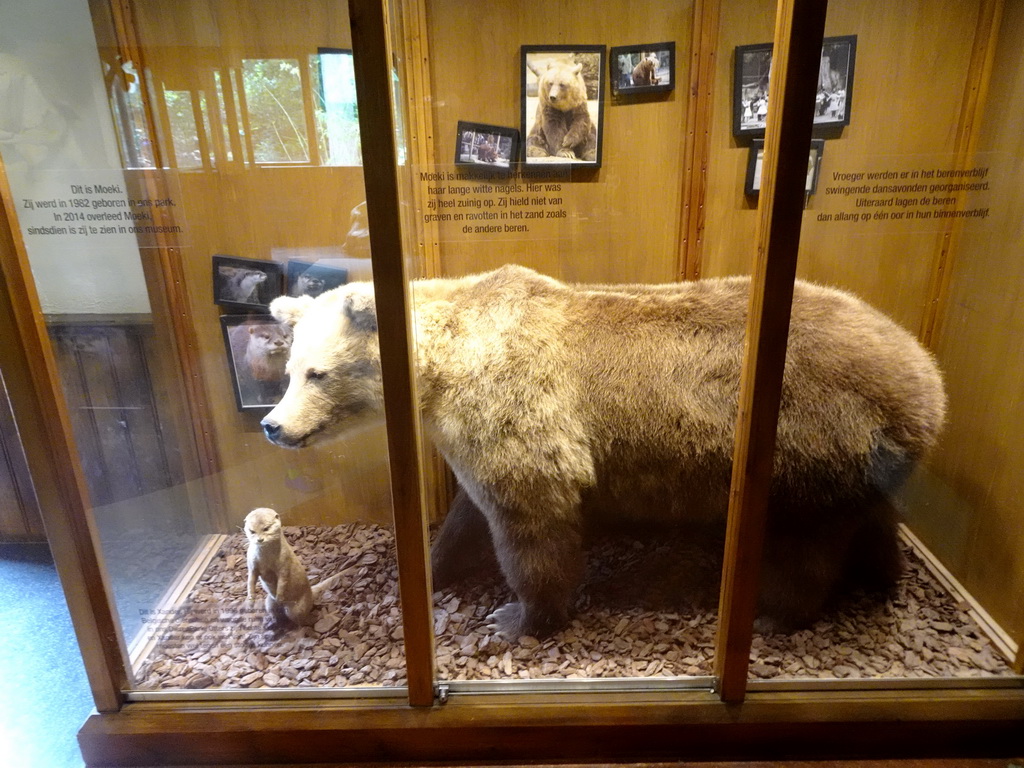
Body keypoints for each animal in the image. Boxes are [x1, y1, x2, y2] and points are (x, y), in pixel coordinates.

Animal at [262, 268, 942, 638]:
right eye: (289, 369)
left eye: (318, 373)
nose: (273, 425)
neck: (445, 369)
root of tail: (927, 375)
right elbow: (466, 515)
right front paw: (428, 569)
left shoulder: (521, 418)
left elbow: (532, 524)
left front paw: (517, 617)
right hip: (863, 463)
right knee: (871, 518)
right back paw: (883, 574)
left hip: (814, 445)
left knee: (806, 545)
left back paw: (778, 613)